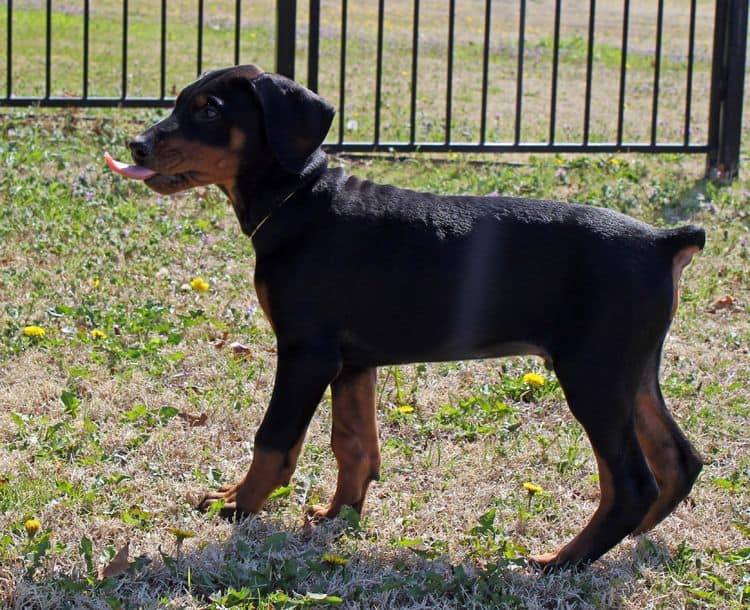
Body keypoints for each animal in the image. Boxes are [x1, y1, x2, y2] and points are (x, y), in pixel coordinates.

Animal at [108, 64, 708, 568]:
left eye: (209, 110)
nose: (135, 144)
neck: (300, 201)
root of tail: (663, 241)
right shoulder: (352, 362)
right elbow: (353, 444)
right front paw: (338, 515)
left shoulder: (306, 353)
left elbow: (275, 439)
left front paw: (238, 502)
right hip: (630, 369)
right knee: (680, 459)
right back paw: (633, 541)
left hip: (592, 373)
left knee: (632, 483)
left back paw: (561, 561)